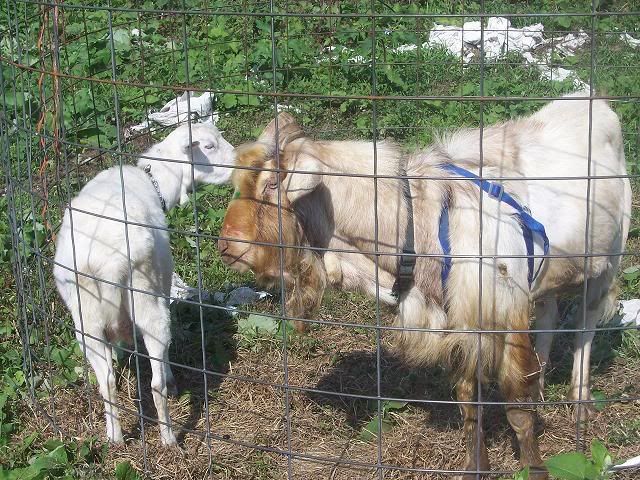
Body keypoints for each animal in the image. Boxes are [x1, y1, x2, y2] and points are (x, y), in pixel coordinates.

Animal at [54, 121, 235, 445]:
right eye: (209, 146)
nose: (241, 161)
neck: (155, 181)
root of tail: (108, 262)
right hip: (148, 301)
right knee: (156, 384)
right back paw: (169, 439)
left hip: (85, 319)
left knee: (106, 381)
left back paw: (114, 437)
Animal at [218, 102, 629, 476]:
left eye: (272, 184)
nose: (226, 245)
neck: (418, 223)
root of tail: (597, 103)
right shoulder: (460, 320)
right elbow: (468, 400)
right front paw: (475, 466)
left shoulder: (503, 309)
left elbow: (516, 406)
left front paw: (534, 468)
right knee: (548, 315)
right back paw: (543, 386)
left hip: (608, 260)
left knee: (586, 324)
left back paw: (579, 400)